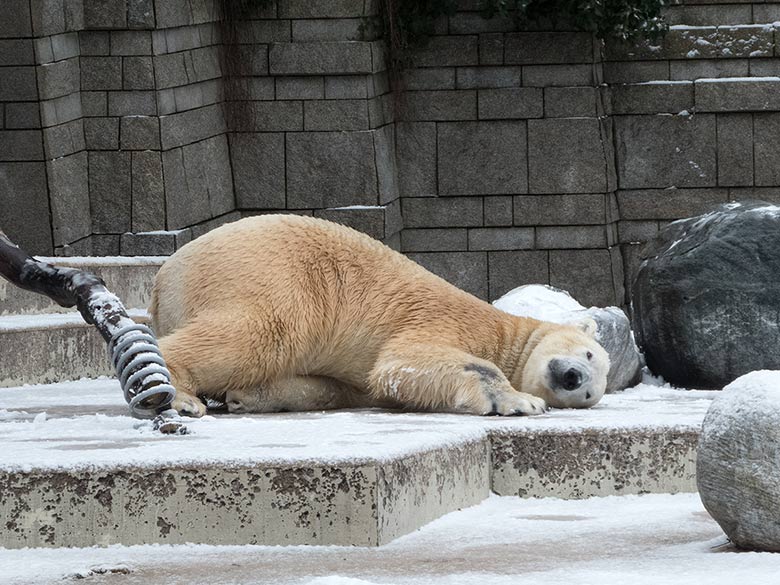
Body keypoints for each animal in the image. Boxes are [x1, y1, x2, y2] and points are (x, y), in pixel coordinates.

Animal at [151, 214, 608, 416]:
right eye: (588, 354)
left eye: (590, 392)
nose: (573, 377)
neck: (505, 332)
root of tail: (162, 282)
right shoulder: (451, 320)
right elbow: (403, 360)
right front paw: (519, 400)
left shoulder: (357, 384)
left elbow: (345, 385)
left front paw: (246, 397)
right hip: (269, 271)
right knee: (260, 332)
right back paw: (182, 397)